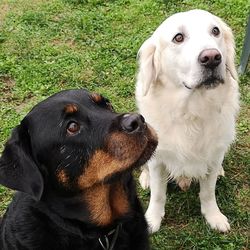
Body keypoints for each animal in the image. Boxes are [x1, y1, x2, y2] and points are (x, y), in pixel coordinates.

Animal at [136, 9, 239, 232]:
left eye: (215, 31)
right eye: (178, 37)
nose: (212, 58)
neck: (191, 112)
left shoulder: (213, 156)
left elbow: (208, 192)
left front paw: (213, 216)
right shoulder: (158, 160)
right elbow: (158, 194)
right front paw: (152, 219)